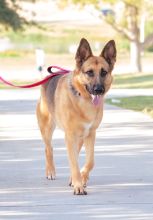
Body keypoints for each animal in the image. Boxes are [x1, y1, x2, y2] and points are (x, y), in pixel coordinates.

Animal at [36, 38, 116, 195]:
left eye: (104, 72)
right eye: (89, 72)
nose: (98, 90)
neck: (83, 100)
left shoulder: (90, 134)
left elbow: (90, 161)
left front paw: (81, 178)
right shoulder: (70, 135)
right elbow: (74, 162)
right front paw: (78, 185)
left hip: (80, 137)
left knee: (76, 154)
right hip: (47, 127)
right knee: (48, 148)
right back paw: (51, 172)